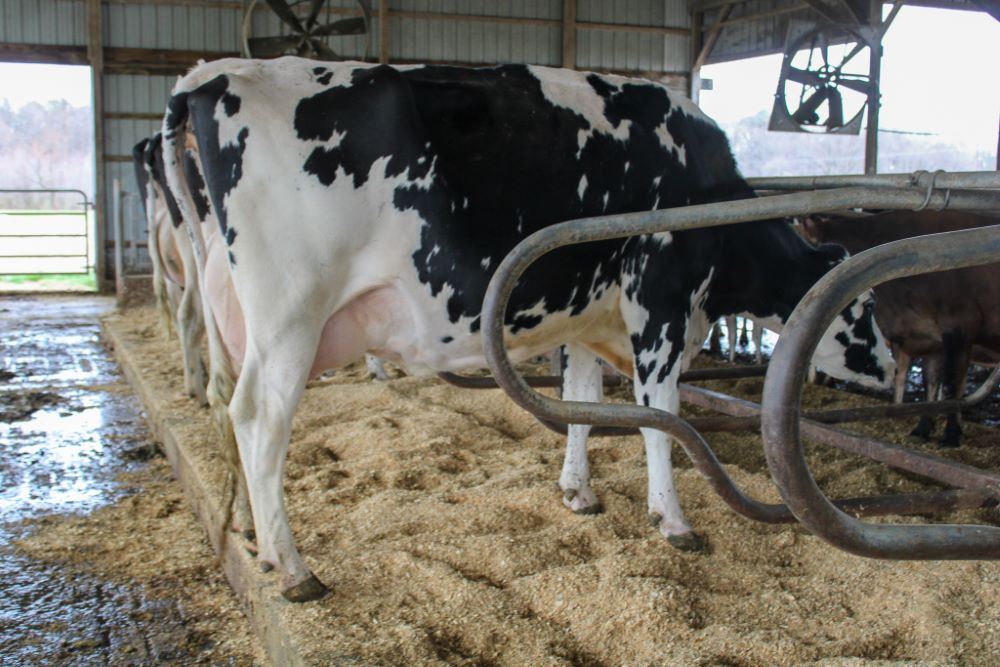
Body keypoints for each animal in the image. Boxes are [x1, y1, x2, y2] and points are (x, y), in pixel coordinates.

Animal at [161, 57, 894, 602]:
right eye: (863, 307)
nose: (891, 372)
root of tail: (212, 77)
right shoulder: (659, 299)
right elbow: (661, 415)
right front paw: (673, 520)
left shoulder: (589, 313)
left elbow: (584, 402)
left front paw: (578, 492)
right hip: (290, 313)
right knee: (259, 418)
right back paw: (294, 567)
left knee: (226, 404)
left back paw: (252, 539)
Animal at [800, 210, 1000, 447]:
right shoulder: (932, 340)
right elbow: (930, 385)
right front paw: (922, 429)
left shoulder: (959, 329)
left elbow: (953, 387)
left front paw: (951, 436)